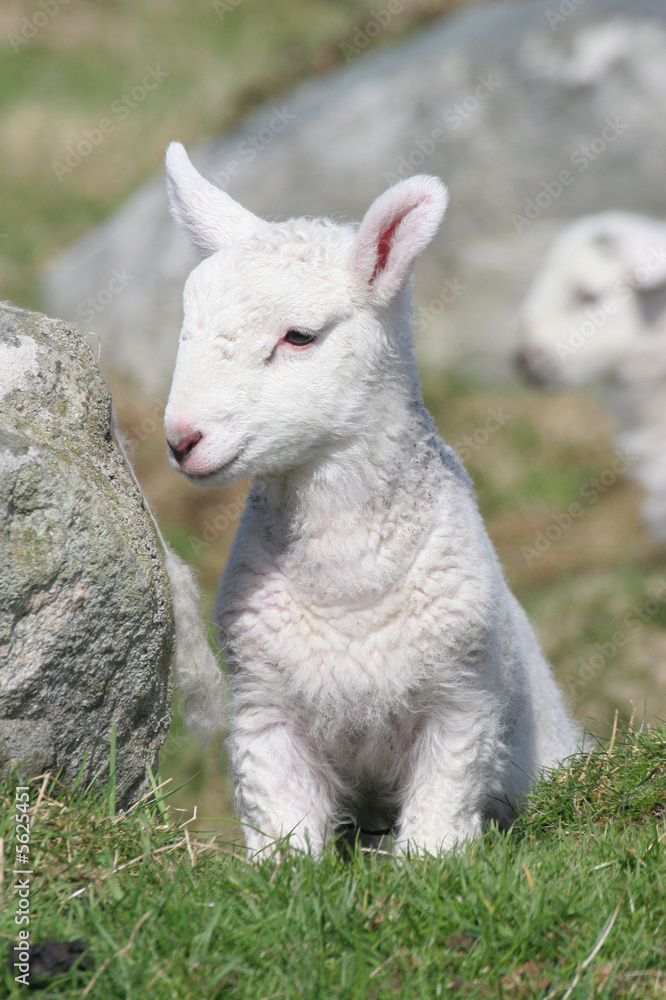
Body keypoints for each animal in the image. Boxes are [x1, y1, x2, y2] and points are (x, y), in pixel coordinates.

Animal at [163, 141, 580, 857]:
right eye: (186, 327)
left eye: (299, 336)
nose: (181, 438)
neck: (347, 587)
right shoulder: (264, 711)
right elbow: (281, 829)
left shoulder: (460, 704)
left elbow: (439, 820)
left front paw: (429, 865)